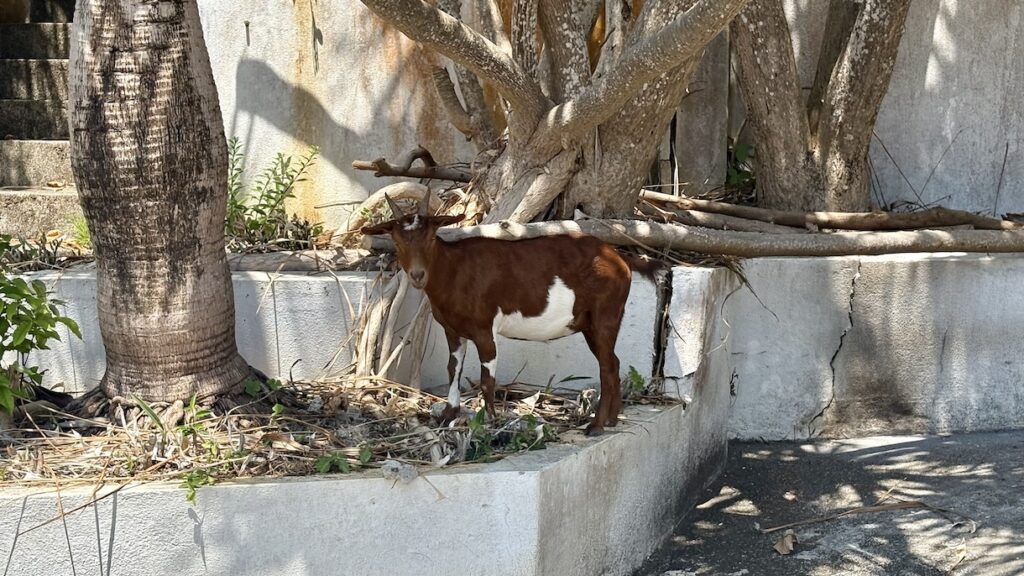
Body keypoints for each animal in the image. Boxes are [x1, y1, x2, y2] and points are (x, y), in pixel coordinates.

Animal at [361, 192, 660, 435]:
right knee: (614, 361)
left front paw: (489, 421)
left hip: (604, 314)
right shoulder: (452, 329)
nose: (417, 275)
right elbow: (453, 369)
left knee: (607, 366)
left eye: (431, 237)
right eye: (397, 241)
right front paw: (448, 415)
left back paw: (596, 426)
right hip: (595, 321)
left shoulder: (484, 328)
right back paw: (611, 420)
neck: (455, 270)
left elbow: (487, 378)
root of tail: (620, 258)